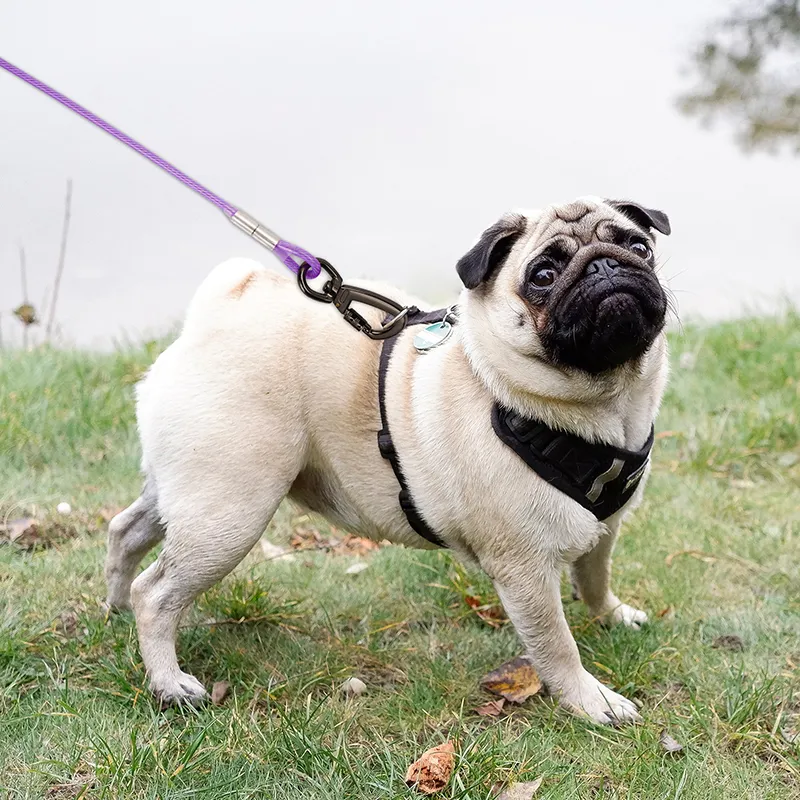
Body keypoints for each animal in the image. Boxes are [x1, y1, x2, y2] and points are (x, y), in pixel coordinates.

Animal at [104, 195, 668, 724]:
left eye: (639, 247)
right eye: (543, 275)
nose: (605, 266)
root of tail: (221, 307)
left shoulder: (605, 528)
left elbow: (595, 580)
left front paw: (614, 616)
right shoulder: (524, 568)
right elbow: (556, 645)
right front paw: (591, 702)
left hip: (189, 492)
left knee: (125, 531)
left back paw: (115, 606)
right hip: (229, 513)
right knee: (156, 592)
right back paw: (169, 682)